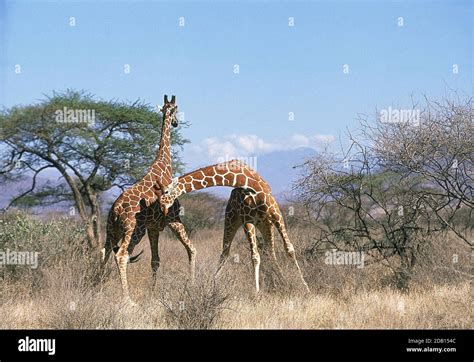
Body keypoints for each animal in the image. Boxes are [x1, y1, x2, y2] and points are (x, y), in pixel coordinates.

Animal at [100, 95, 196, 302]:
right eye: (176, 108)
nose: (176, 123)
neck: (164, 165)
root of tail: (116, 209)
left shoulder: (153, 228)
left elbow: (155, 260)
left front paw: (152, 293)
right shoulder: (173, 219)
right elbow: (191, 249)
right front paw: (193, 285)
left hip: (112, 229)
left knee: (104, 251)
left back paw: (97, 289)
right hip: (134, 230)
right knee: (121, 255)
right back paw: (127, 299)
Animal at [160, 161, 312, 294]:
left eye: (166, 191)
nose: (162, 207)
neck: (244, 179)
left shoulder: (276, 213)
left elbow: (289, 249)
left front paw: (305, 287)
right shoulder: (248, 220)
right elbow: (255, 256)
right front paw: (257, 292)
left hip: (265, 224)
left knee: (270, 252)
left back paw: (281, 280)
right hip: (231, 220)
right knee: (225, 252)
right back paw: (213, 282)